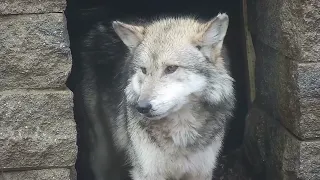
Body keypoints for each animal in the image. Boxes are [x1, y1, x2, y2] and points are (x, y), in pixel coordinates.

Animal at [110, 13, 235, 180]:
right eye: (144, 70)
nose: (141, 107)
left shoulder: (201, 172)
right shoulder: (147, 173)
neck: (181, 132)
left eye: (171, 68)